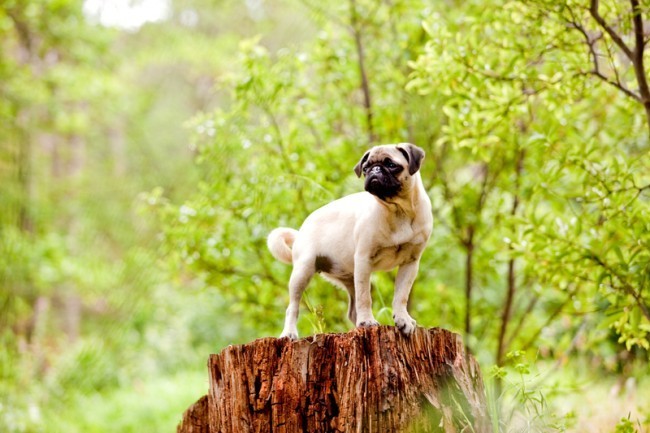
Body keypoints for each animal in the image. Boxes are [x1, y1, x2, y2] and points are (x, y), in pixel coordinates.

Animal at [266, 143, 432, 340]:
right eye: (366, 168)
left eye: (391, 165)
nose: (375, 170)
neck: (398, 211)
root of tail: (300, 232)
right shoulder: (364, 258)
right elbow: (365, 297)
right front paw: (367, 321)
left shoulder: (410, 263)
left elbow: (401, 296)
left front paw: (402, 319)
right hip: (303, 271)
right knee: (293, 307)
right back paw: (289, 333)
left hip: (350, 277)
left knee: (353, 311)